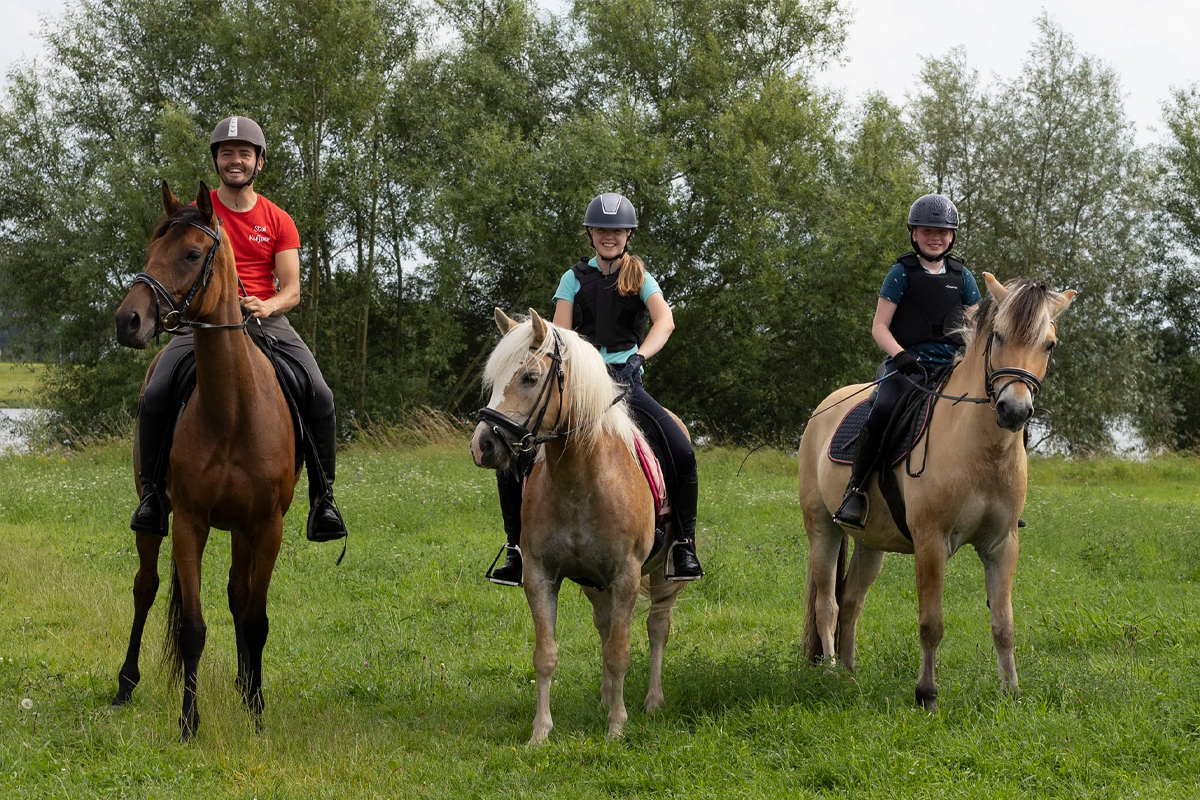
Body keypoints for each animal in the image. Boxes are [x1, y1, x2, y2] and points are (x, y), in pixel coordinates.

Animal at [111, 181, 298, 740]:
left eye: (192, 254)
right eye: (151, 249)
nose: (128, 321)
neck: (233, 408)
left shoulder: (266, 526)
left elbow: (255, 618)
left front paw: (256, 708)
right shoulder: (190, 522)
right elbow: (192, 627)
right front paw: (188, 721)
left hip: (241, 528)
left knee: (238, 596)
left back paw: (243, 685)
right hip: (155, 519)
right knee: (145, 588)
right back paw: (125, 684)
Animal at [470, 309, 689, 743]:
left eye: (530, 377)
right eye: (494, 378)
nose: (481, 445)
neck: (580, 475)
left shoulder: (626, 575)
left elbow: (621, 652)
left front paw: (617, 728)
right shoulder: (540, 575)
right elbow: (546, 655)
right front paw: (540, 732)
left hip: (663, 573)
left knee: (657, 626)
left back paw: (652, 701)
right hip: (593, 582)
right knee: (604, 625)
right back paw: (606, 697)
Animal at [798, 273, 1075, 710]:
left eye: (1049, 345)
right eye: (998, 336)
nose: (1013, 411)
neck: (982, 451)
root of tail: (823, 408)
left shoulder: (1002, 544)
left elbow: (1004, 624)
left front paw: (1011, 693)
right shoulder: (931, 542)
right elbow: (931, 624)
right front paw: (926, 695)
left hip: (870, 543)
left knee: (853, 601)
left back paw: (849, 673)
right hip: (823, 527)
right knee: (828, 604)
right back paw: (828, 672)